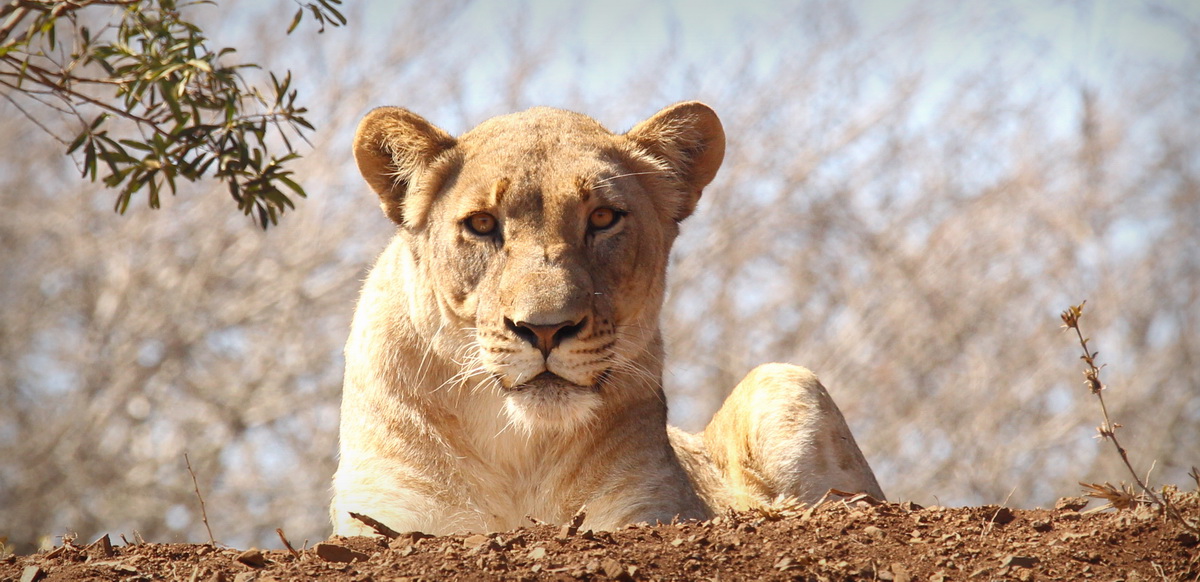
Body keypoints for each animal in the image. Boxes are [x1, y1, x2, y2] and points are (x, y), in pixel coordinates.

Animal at [331, 102, 884, 536]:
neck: (519, 452)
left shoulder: (645, 511)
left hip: (783, 379)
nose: (545, 329)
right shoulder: (385, 516)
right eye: (483, 224)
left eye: (602, 218)